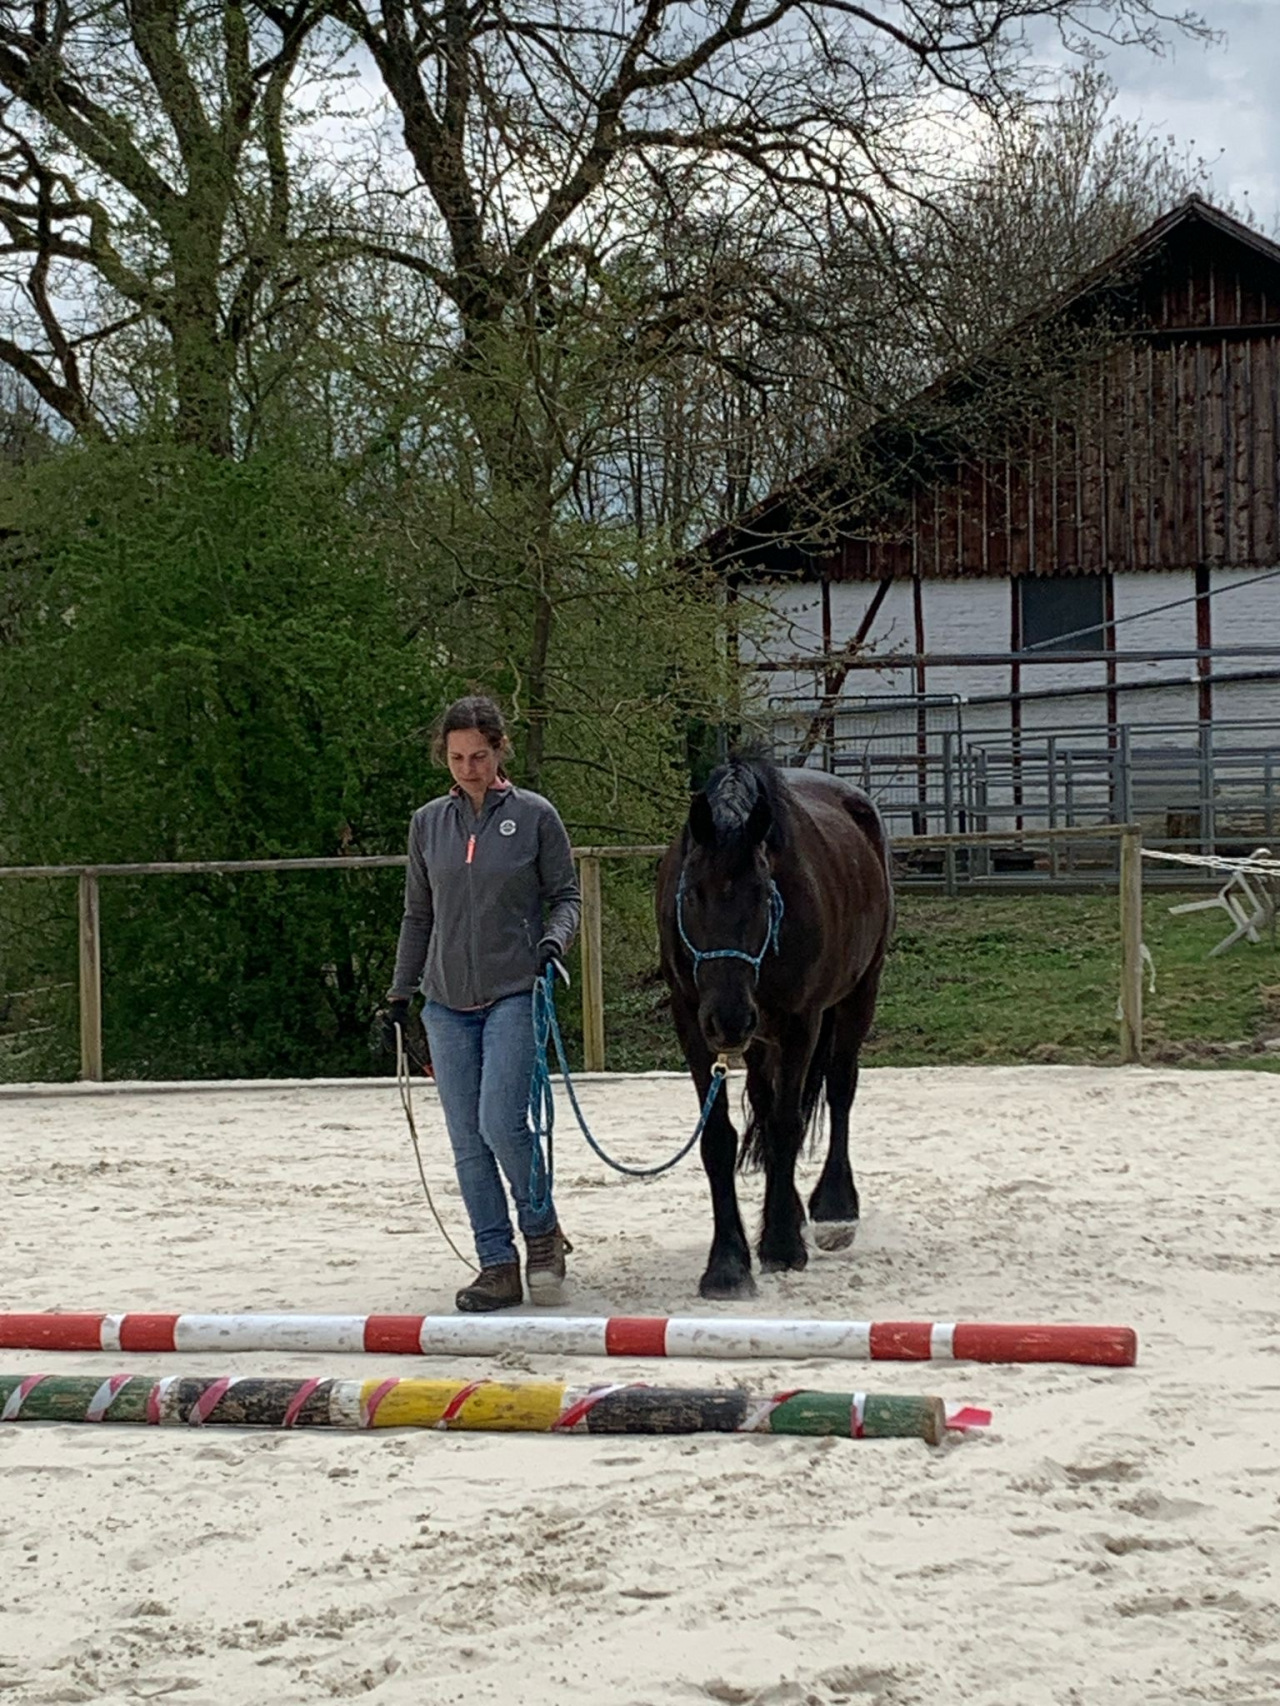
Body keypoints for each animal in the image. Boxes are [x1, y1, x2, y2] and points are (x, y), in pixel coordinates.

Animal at [655, 752, 893, 1299]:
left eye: (765, 895)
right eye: (691, 894)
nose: (728, 1018)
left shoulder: (799, 1021)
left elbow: (788, 1124)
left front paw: (782, 1245)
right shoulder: (691, 1022)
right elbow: (718, 1137)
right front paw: (727, 1263)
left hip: (857, 996)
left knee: (839, 1089)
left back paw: (832, 1210)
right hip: (759, 1037)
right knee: (765, 1104)